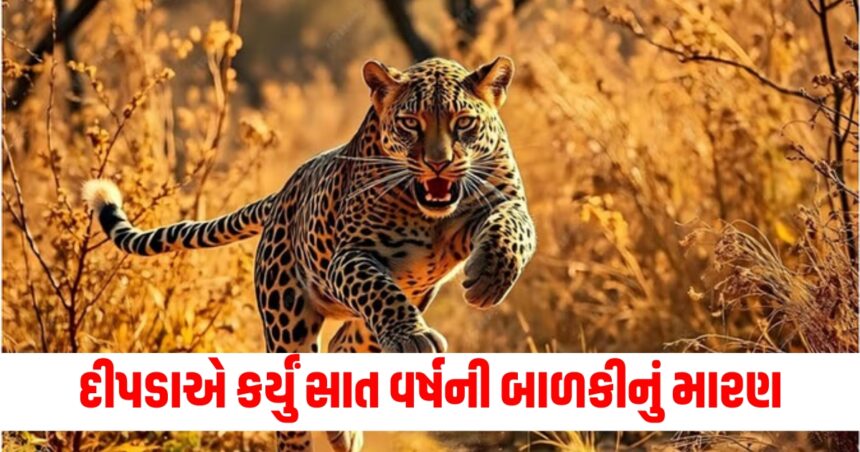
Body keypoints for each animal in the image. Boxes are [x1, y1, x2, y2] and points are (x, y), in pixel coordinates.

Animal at [82, 56, 536, 452]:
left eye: (464, 123)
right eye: (411, 123)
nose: (438, 164)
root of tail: (284, 193)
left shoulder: (506, 201)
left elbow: (515, 229)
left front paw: (490, 276)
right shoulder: (350, 257)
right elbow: (379, 289)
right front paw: (414, 337)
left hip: (377, 322)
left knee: (342, 348)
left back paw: (343, 429)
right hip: (288, 324)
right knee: (298, 406)